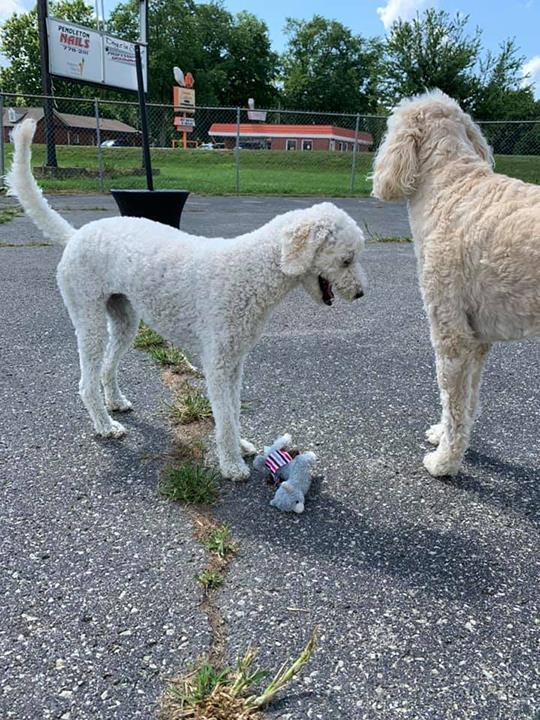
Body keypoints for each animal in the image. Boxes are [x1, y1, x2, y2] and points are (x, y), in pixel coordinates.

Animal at [8, 119, 367, 481]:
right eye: (347, 259)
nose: (361, 292)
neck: (251, 270)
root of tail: (74, 236)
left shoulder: (235, 362)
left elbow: (233, 411)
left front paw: (242, 446)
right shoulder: (218, 363)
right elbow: (224, 417)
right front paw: (232, 464)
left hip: (124, 319)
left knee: (108, 366)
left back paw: (115, 403)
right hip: (88, 317)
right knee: (86, 382)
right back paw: (105, 425)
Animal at [372, 89, 540, 477]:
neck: (451, 180)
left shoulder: (451, 333)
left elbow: (451, 399)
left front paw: (445, 461)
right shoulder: (477, 339)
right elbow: (467, 401)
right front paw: (446, 436)